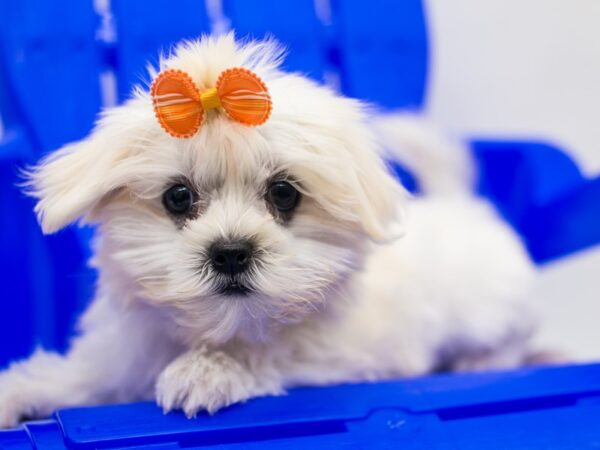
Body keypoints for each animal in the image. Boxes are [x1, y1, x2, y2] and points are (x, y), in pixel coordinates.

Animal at [0, 33, 536, 428]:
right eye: (178, 197)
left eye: (284, 194)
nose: (231, 252)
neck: (214, 329)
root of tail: (458, 202)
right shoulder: (119, 357)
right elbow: (74, 375)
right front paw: (18, 392)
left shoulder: (340, 358)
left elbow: (270, 355)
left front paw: (207, 372)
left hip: (488, 305)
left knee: (515, 334)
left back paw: (481, 362)